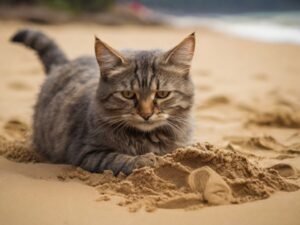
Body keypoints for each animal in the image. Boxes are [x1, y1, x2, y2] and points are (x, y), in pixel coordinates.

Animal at [10, 29, 196, 175]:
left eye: (162, 94)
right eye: (128, 94)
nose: (146, 114)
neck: (146, 138)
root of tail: (64, 63)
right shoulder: (85, 151)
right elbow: (117, 158)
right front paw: (144, 160)